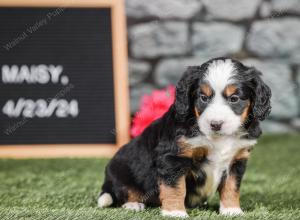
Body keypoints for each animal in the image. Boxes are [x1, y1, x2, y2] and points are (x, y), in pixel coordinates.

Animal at [97, 57, 270, 217]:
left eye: (234, 99)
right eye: (203, 98)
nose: (215, 124)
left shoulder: (237, 159)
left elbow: (231, 186)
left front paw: (231, 210)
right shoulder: (173, 157)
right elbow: (175, 188)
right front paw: (175, 213)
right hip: (119, 171)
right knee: (123, 192)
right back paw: (133, 205)